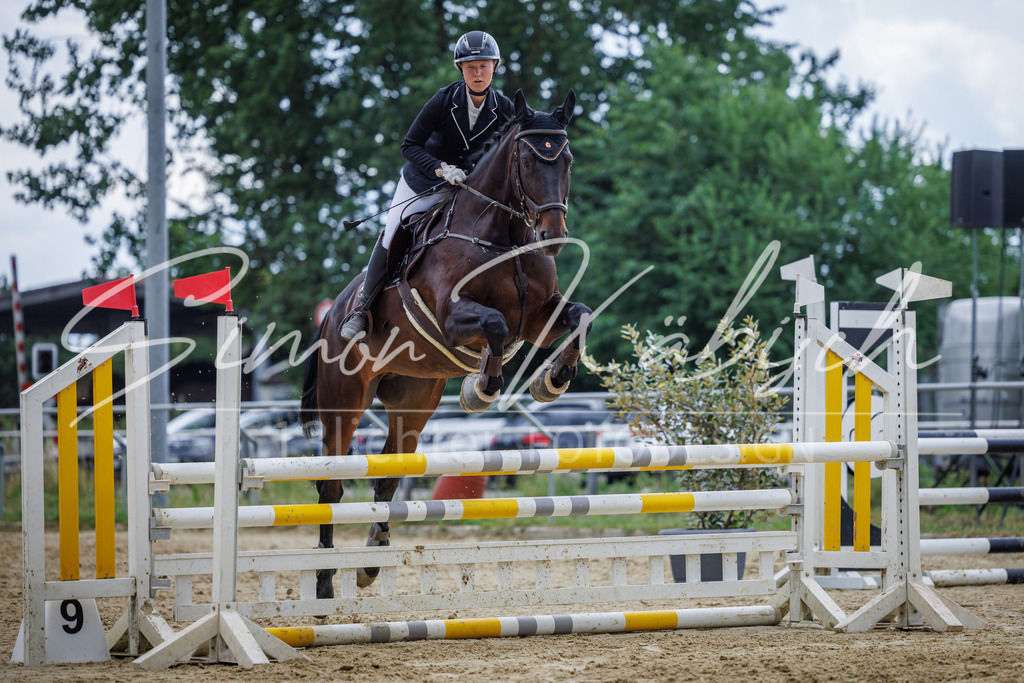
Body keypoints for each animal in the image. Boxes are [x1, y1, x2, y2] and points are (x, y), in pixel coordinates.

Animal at [300, 90, 592, 599]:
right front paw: (482, 389)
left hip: (413, 401)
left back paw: (372, 559)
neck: (503, 237)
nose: (553, 237)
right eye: (527, 160)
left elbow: (579, 315)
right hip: (344, 399)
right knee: (331, 486)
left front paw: (553, 380)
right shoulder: (454, 319)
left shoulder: (539, 319)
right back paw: (324, 582)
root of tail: (332, 313)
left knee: (387, 474)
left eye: (567, 159)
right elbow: (495, 324)